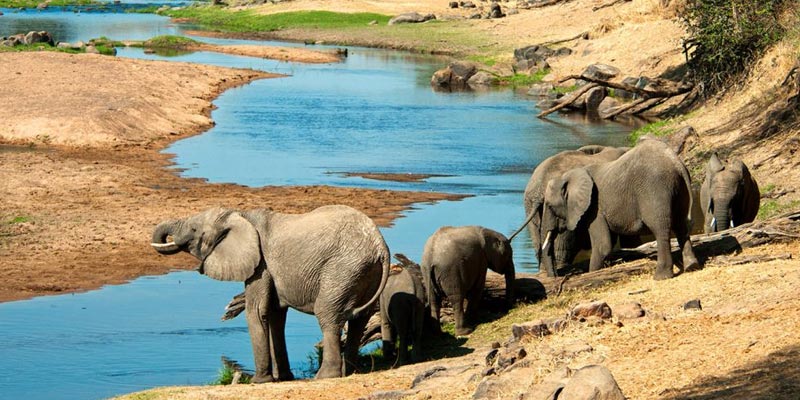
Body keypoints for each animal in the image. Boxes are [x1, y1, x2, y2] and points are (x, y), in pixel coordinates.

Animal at [150, 205, 390, 382]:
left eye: (194, 230)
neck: (240, 215)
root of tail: (380, 247)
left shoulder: (260, 264)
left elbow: (257, 311)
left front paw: (259, 381)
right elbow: (275, 315)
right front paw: (283, 378)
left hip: (342, 269)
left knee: (328, 315)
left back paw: (324, 377)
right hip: (363, 273)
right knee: (359, 320)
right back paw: (350, 372)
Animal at [536, 139, 700, 280]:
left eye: (549, 206)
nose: (557, 277)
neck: (570, 175)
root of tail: (676, 162)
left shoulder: (594, 209)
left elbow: (602, 246)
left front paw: (592, 273)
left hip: (655, 189)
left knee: (661, 228)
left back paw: (661, 276)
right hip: (679, 189)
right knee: (681, 225)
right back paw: (692, 266)